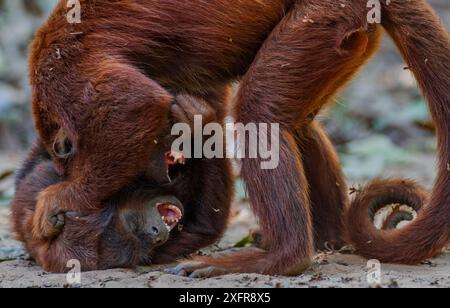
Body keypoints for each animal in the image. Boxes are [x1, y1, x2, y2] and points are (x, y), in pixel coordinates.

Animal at [27, 0, 450, 276]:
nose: (155, 233)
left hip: (326, 13)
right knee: (296, 122)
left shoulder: (63, 69)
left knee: (257, 113)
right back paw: (325, 238)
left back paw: (285, 258)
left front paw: (62, 198)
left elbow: (136, 107)